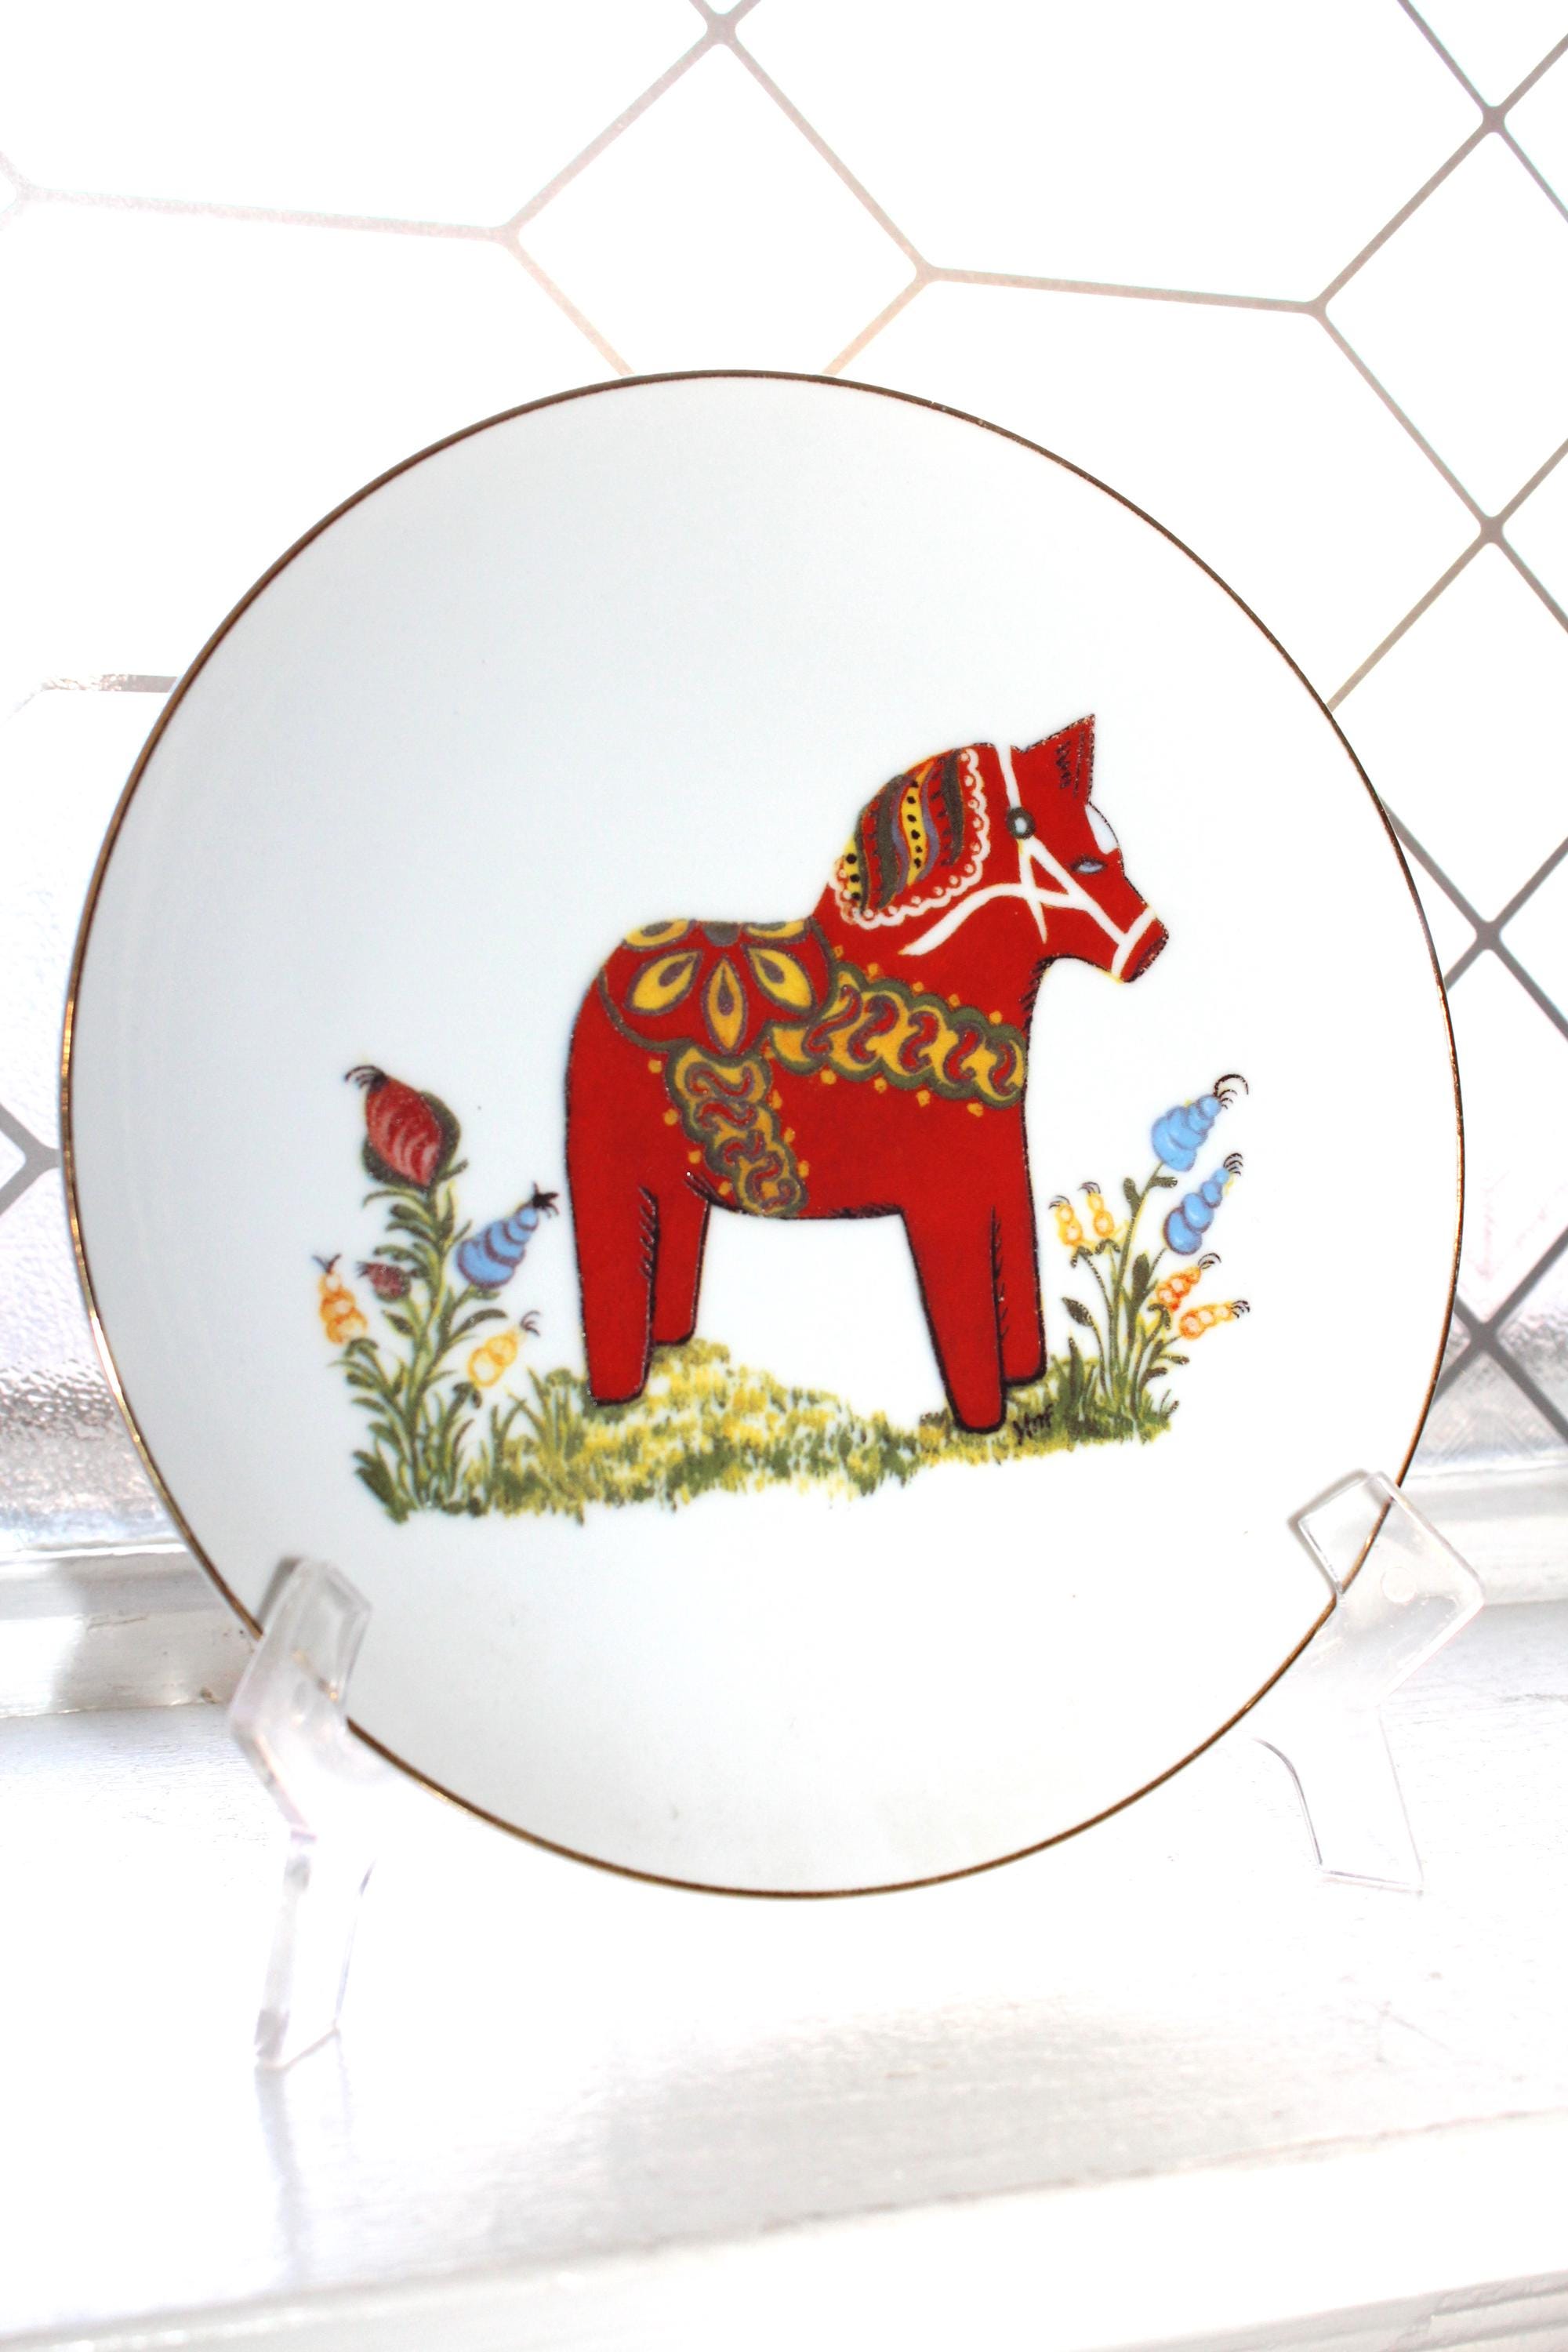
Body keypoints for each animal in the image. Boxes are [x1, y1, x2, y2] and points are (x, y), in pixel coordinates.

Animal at [566, 716, 1167, 1433]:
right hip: (608, 1177)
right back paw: (618, 1394)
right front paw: (984, 1421)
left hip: (679, 1186)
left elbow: (1018, 1286)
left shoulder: (1002, 1179)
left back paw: (674, 1347)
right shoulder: (944, 1205)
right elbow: (967, 1318)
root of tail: (602, 974)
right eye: (1088, 863)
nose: (1152, 944)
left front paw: (1027, 1379)